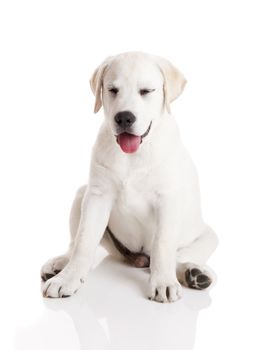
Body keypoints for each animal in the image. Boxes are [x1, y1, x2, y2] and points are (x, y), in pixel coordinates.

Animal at [41, 50, 219, 302]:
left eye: (146, 91)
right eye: (112, 90)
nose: (124, 117)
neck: (134, 154)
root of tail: (139, 258)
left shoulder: (168, 199)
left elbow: (163, 244)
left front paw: (163, 282)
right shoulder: (97, 196)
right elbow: (84, 242)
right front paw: (67, 279)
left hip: (208, 236)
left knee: (176, 255)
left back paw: (194, 273)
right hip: (81, 195)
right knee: (75, 244)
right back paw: (59, 264)